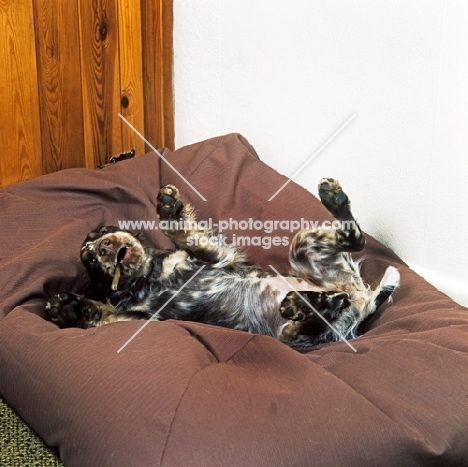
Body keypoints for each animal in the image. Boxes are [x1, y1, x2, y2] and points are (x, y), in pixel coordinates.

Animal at [46, 178, 398, 352]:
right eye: (91, 259)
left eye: (102, 232)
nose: (104, 247)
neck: (149, 280)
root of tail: (361, 300)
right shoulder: (142, 319)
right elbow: (101, 314)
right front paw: (68, 308)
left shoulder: (214, 256)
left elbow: (180, 231)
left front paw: (169, 207)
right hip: (297, 328)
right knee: (314, 314)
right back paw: (308, 303)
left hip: (302, 247)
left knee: (356, 240)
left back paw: (334, 199)